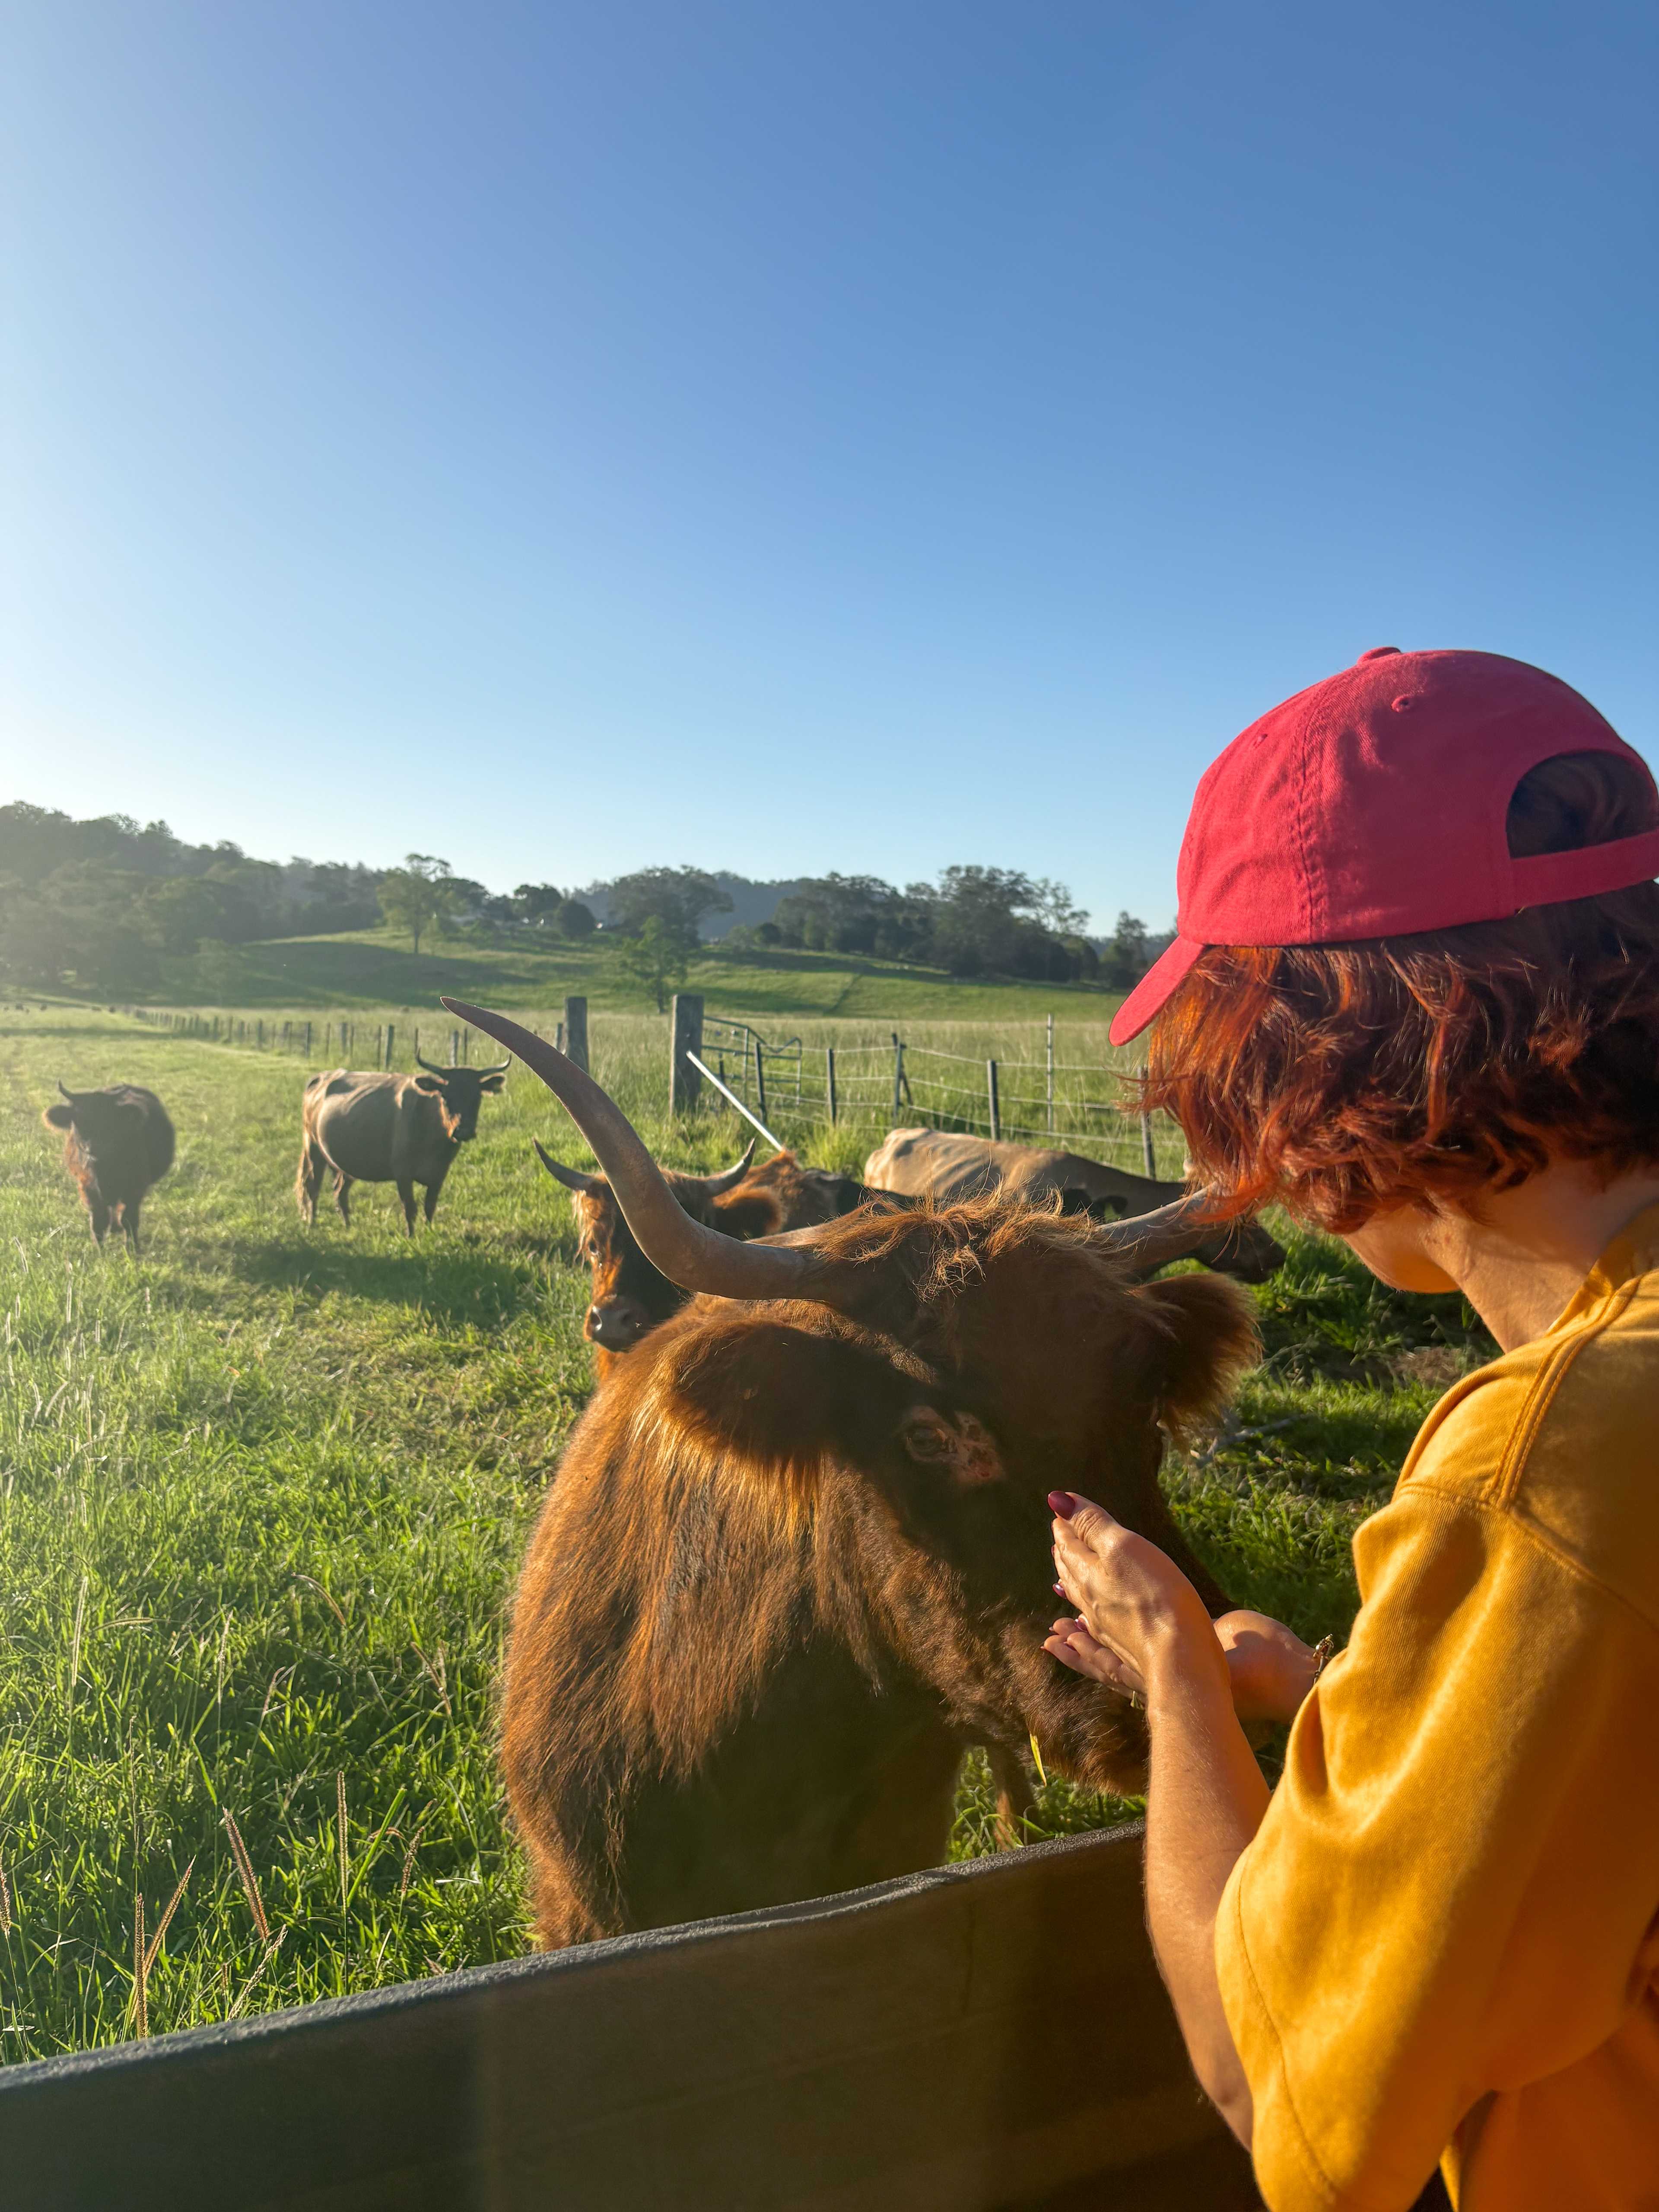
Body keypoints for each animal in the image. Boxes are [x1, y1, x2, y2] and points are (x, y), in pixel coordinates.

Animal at [42, 1082, 175, 1253]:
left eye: (110, 1120)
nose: (93, 1147)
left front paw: (133, 1248)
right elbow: (99, 1220)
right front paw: (99, 1250)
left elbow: (129, 1219)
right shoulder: (87, 1187)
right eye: (77, 1120)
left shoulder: (135, 1189)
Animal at [296, 1053, 510, 1233]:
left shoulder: (440, 1173)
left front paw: (430, 1233)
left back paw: (348, 1226)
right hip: (313, 1147)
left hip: (346, 1161)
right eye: (445, 1096)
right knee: (313, 1187)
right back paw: (312, 1224)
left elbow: (430, 1207)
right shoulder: (403, 1172)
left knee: (340, 1191)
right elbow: (410, 1208)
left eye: (477, 1097)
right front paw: (411, 1236)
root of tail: (323, 1077)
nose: (463, 1131)